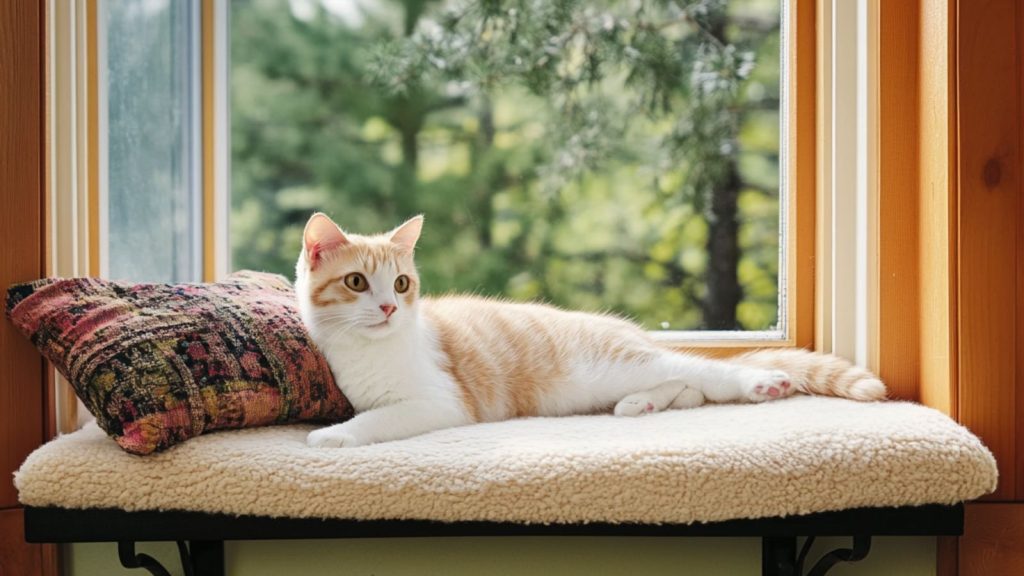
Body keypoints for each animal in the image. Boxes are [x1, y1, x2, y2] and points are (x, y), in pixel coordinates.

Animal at [296, 213, 888, 446]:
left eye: (400, 284)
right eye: (356, 282)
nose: (389, 309)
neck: (375, 349)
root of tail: (634, 335)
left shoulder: (440, 401)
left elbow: (381, 419)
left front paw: (334, 435)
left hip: (611, 363)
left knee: (706, 373)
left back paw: (761, 383)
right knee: (689, 386)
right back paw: (643, 404)